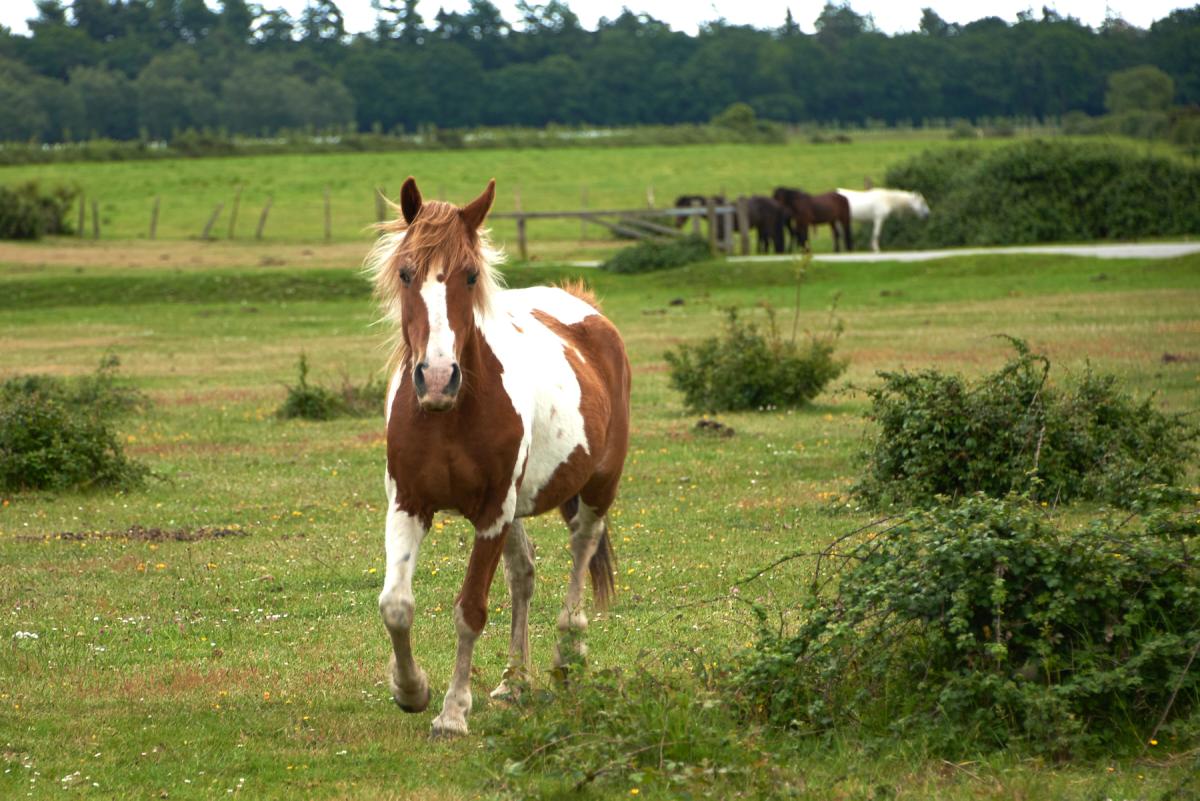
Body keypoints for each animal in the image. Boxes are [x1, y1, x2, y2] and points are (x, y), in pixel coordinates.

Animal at [362, 176, 628, 738]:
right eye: (405, 272)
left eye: (470, 275)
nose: (438, 377)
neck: (449, 416)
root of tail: (584, 306)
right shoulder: (409, 503)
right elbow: (396, 605)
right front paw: (411, 689)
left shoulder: (490, 515)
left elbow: (471, 610)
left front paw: (453, 712)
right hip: (517, 507)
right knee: (523, 574)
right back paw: (513, 683)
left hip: (597, 486)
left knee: (583, 546)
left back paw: (568, 652)